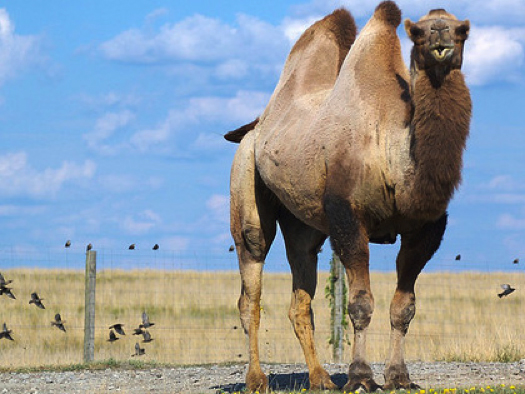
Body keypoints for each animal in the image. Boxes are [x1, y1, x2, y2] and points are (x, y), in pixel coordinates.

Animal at [225, 1, 470, 390]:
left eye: (462, 31)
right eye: (418, 32)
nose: (441, 44)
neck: (390, 152)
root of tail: (254, 127)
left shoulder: (426, 228)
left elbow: (404, 307)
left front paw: (399, 377)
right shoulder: (347, 216)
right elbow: (360, 305)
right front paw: (360, 377)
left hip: (303, 224)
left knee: (300, 288)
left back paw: (320, 378)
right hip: (246, 177)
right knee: (251, 273)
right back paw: (256, 379)